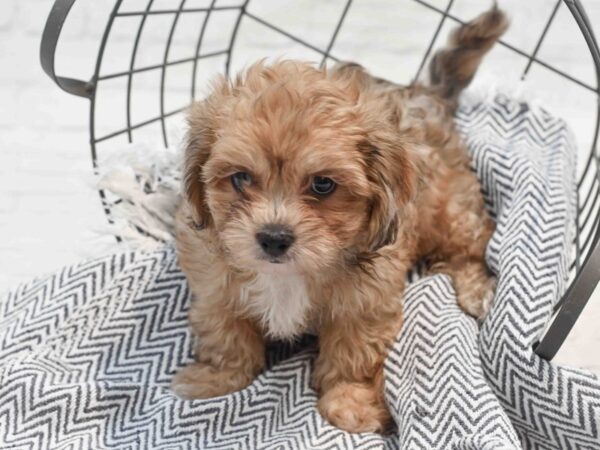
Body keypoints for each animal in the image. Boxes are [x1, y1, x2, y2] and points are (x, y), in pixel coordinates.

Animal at [171, 4, 508, 432]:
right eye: (241, 178)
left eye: (323, 185)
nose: (274, 237)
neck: (287, 275)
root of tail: (425, 94)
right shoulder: (215, 288)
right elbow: (226, 335)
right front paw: (218, 378)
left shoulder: (364, 305)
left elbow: (352, 355)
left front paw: (351, 401)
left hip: (449, 208)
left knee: (472, 244)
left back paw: (477, 288)